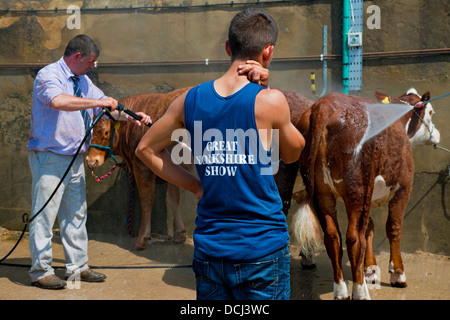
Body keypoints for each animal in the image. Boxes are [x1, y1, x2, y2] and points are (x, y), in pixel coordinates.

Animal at [85, 87, 191, 250]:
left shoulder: (141, 167)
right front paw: (179, 233)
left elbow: (146, 200)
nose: (91, 161)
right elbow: (173, 199)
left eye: (106, 132)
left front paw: (142, 238)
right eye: (88, 132)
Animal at [290, 89, 442, 298]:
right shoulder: (403, 187)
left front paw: (370, 269)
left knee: (333, 236)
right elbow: (393, 228)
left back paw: (341, 290)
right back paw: (360, 292)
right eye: (431, 112)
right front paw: (398, 274)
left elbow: (369, 229)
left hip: (322, 191)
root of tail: (325, 104)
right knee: (354, 238)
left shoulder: (368, 196)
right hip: (357, 190)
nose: (437, 134)